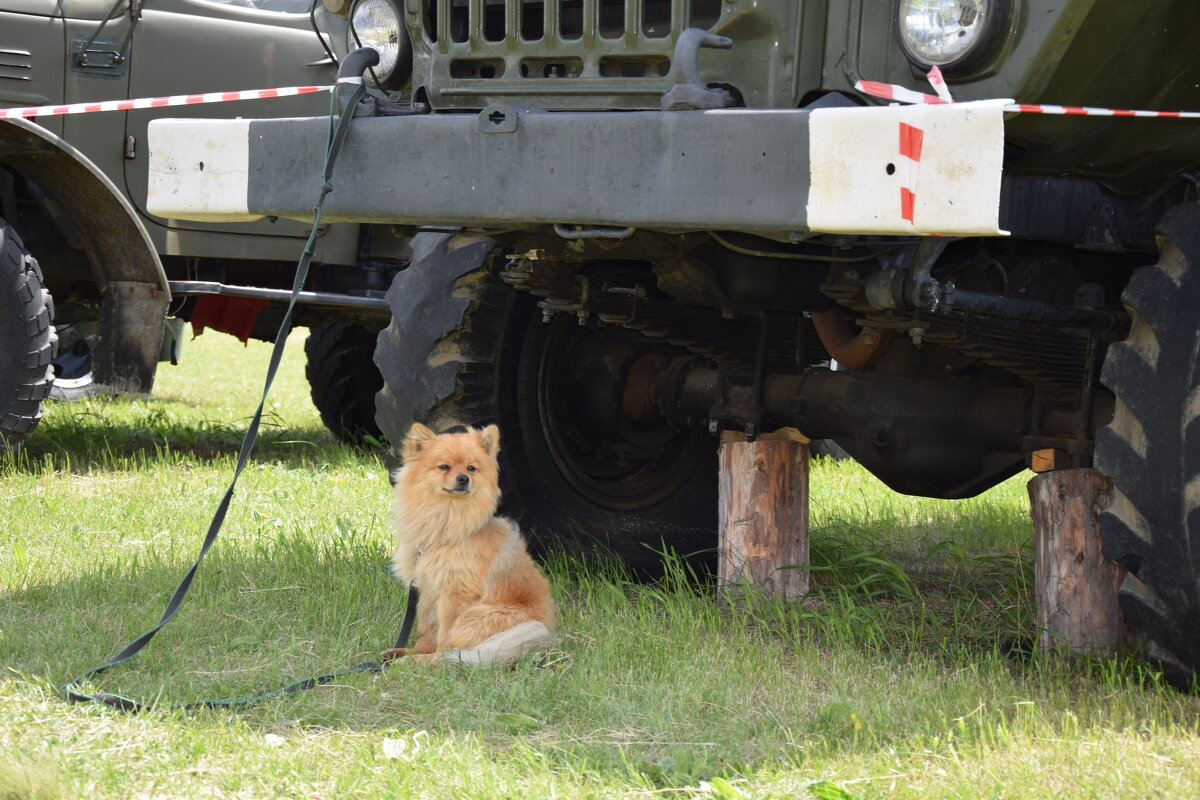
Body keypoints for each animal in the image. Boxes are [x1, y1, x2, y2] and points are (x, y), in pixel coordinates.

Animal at [379, 422, 556, 666]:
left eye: (472, 468)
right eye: (444, 467)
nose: (463, 478)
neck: (446, 519)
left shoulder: (454, 594)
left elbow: (444, 637)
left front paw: (430, 661)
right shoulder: (426, 590)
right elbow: (426, 630)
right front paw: (416, 651)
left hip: (476, 616)